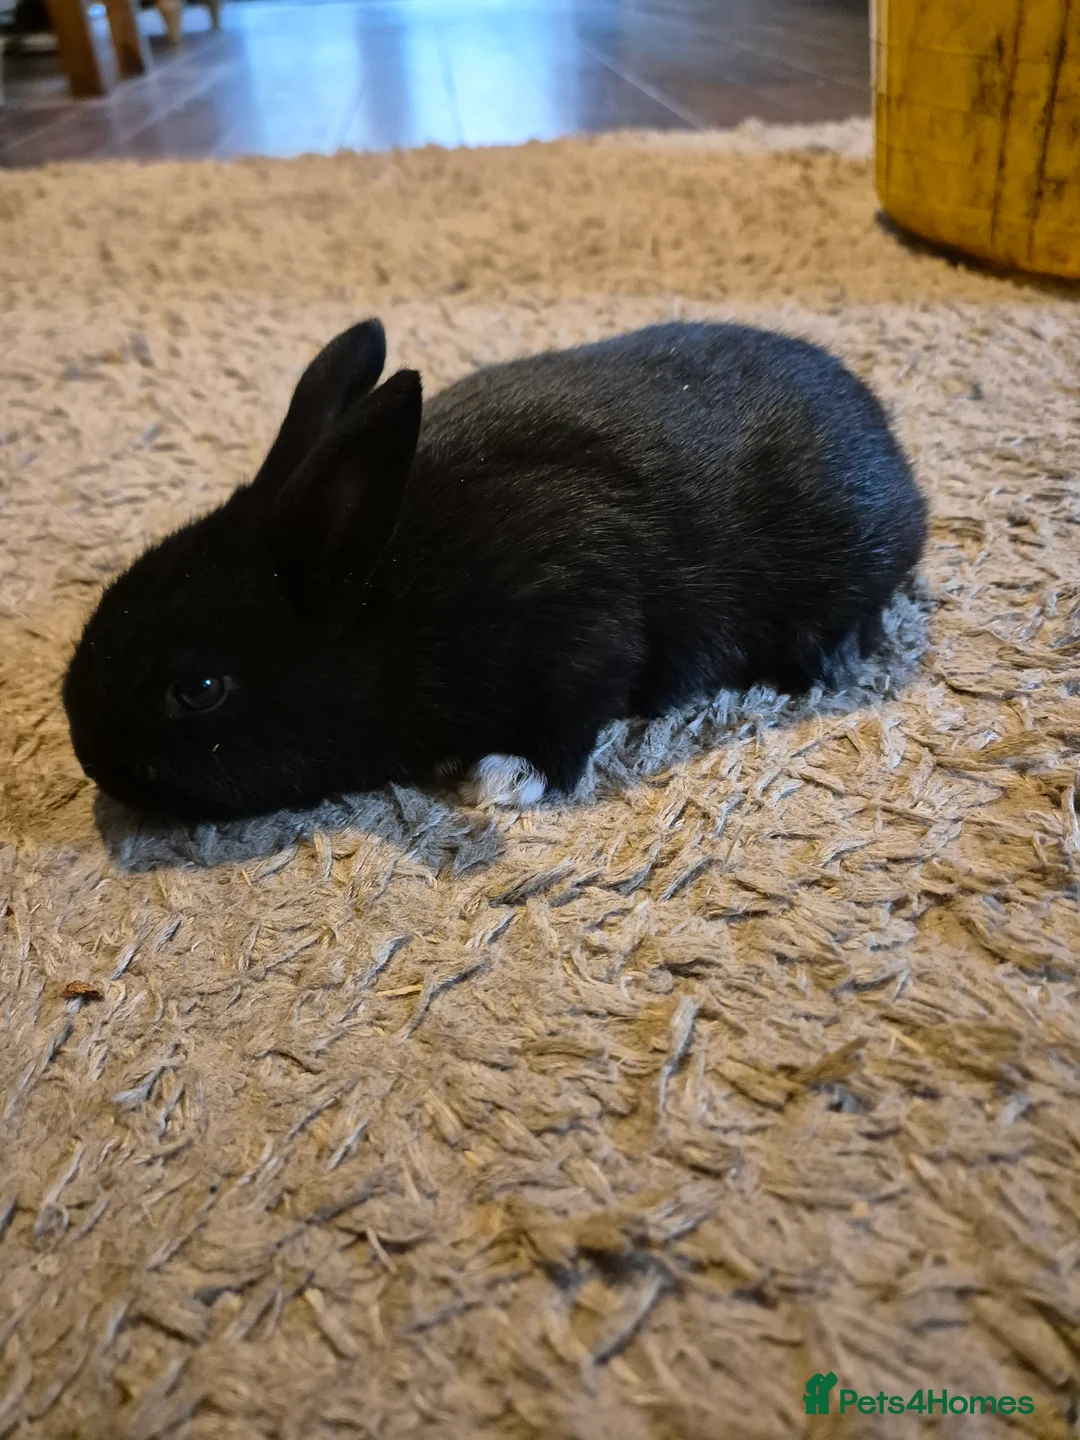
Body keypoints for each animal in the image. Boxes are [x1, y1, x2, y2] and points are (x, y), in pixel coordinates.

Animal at [63, 317, 926, 822]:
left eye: (199, 689)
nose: (90, 756)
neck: (392, 603)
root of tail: (896, 455)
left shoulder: (583, 617)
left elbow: (574, 719)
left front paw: (501, 779)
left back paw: (829, 659)